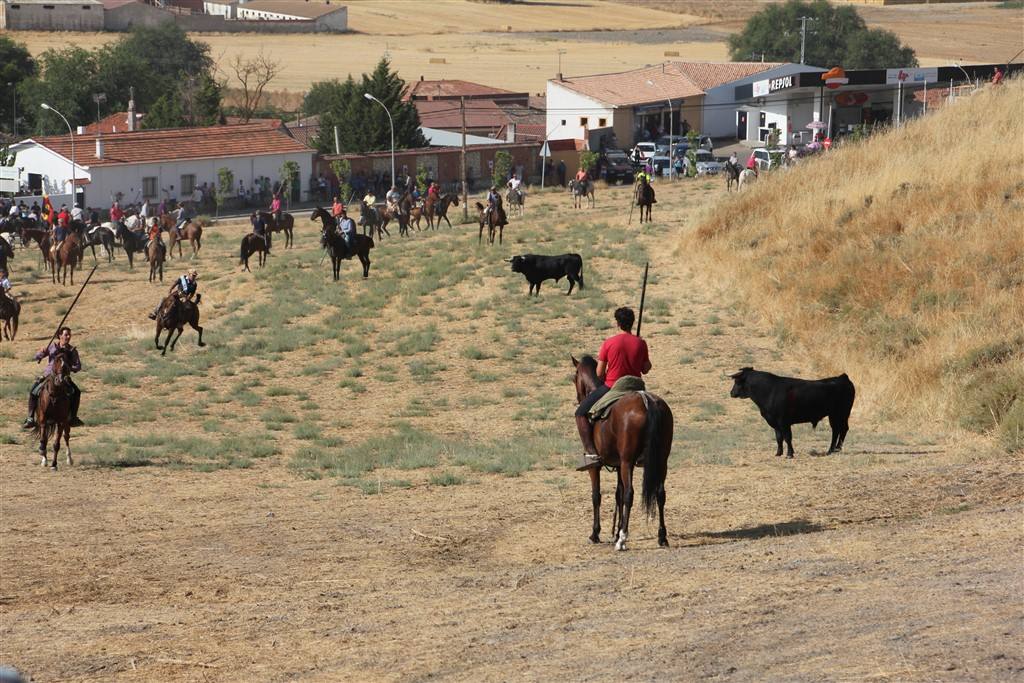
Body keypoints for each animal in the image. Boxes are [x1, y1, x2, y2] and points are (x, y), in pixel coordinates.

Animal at [573, 356, 675, 552]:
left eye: (574, 378)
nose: (578, 398)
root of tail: (647, 401)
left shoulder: (597, 467)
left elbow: (597, 495)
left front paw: (596, 533)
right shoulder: (619, 465)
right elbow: (617, 495)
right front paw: (616, 530)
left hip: (629, 462)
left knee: (630, 493)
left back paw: (622, 540)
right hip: (661, 461)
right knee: (660, 494)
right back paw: (662, 536)